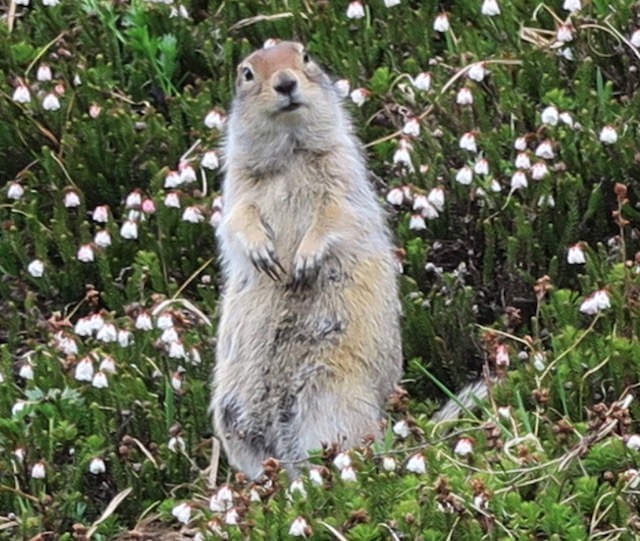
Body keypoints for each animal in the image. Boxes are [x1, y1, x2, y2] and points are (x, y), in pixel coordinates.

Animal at [211, 41, 400, 476]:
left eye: (306, 55)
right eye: (246, 73)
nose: (285, 83)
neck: (290, 156)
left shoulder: (342, 176)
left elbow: (335, 214)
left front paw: (302, 263)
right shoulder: (238, 188)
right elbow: (237, 219)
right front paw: (264, 256)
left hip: (326, 393)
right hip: (229, 415)